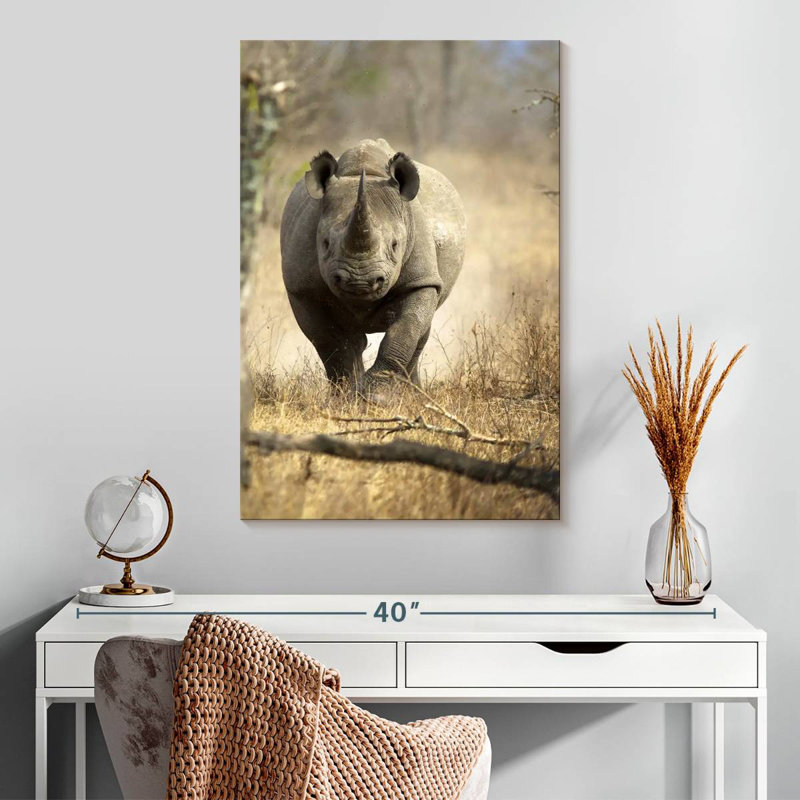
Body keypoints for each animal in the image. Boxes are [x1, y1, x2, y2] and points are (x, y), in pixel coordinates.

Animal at [280, 138, 465, 398]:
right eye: (325, 244)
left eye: (395, 245)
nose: (359, 282)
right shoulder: (302, 289)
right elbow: (328, 341)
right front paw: (347, 396)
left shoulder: (421, 280)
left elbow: (405, 329)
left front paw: (377, 396)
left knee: (421, 329)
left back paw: (413, 394)